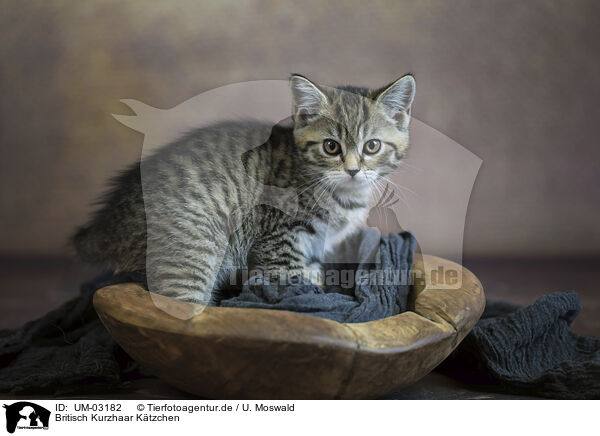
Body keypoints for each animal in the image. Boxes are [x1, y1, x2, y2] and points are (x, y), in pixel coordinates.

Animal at [72, 74, 414, 304]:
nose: (353, 170)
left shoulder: (316, 243)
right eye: (331, 146)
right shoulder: (280, 237)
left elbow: (313, 270)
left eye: (372, 146)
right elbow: (290, 277)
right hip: (193, 247)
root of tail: (109, 224)